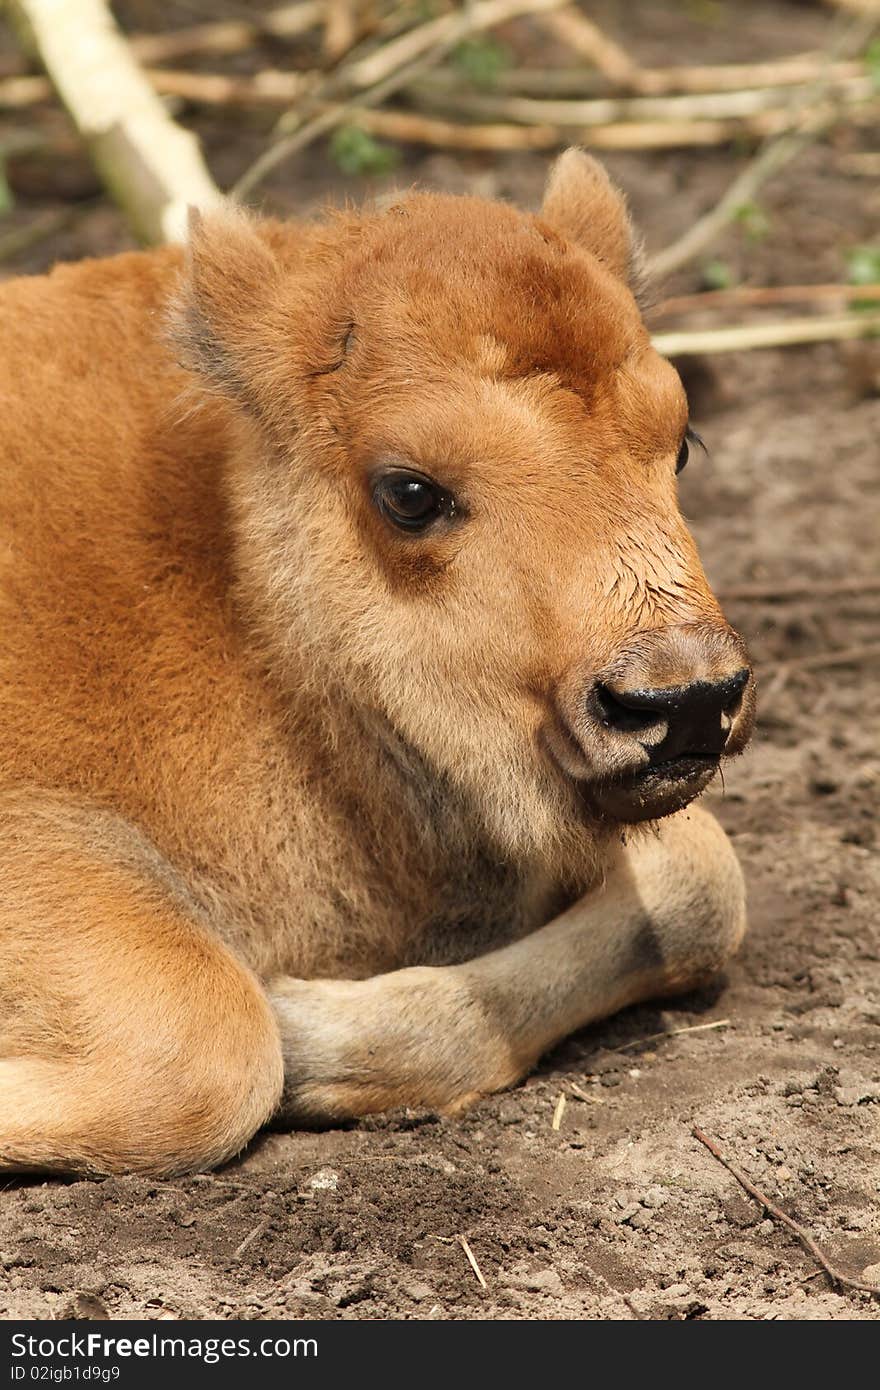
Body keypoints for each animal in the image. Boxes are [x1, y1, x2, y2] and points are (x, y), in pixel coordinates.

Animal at [1, 149, 756, 1173]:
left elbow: (705, 886)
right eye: (409, 491)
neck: (231, 584)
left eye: (680, 444)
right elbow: (215, 1042)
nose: (684, 699)